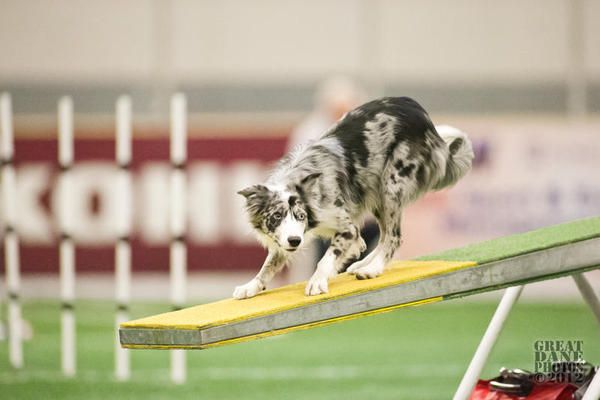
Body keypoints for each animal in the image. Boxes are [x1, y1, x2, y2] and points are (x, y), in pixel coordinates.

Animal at [234, 97, 473, 299]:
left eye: (301, 216)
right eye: (276, 216)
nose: (295, 241)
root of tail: (424, 117)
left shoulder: (347, 228)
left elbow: (326, 258)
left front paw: (317, 281)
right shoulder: (288, 238)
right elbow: (268, 264)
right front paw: (251, 286)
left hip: (391, 184)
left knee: (394, 236)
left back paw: (373, 269)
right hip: (374, 191)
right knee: (384, 235)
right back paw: (363, 264)